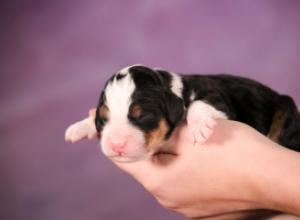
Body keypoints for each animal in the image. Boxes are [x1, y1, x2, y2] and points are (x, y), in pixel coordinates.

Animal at [65, 64, 300, 162]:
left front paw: (201, 128)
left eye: (142, 116)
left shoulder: (219, 100)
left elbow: (197, 104)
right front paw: (78, 127)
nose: (115, 145)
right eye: (103, 119)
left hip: (285, 107)